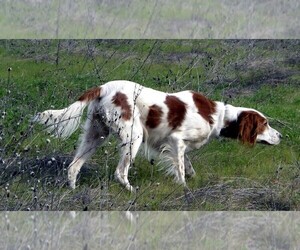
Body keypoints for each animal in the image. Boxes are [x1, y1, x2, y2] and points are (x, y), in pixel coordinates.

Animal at [34, 80, 282, 191]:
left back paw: (73, 190)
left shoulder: (177, 146)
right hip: (132, 137)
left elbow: (188, 166)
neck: (218, 117)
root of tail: (103, 88)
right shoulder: (176, 140)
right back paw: (131, 190)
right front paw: (184, 188)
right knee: (120, 172)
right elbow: (181, 169)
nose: (280, 136)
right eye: (265, 124)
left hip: (95, 135)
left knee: (73, 166)